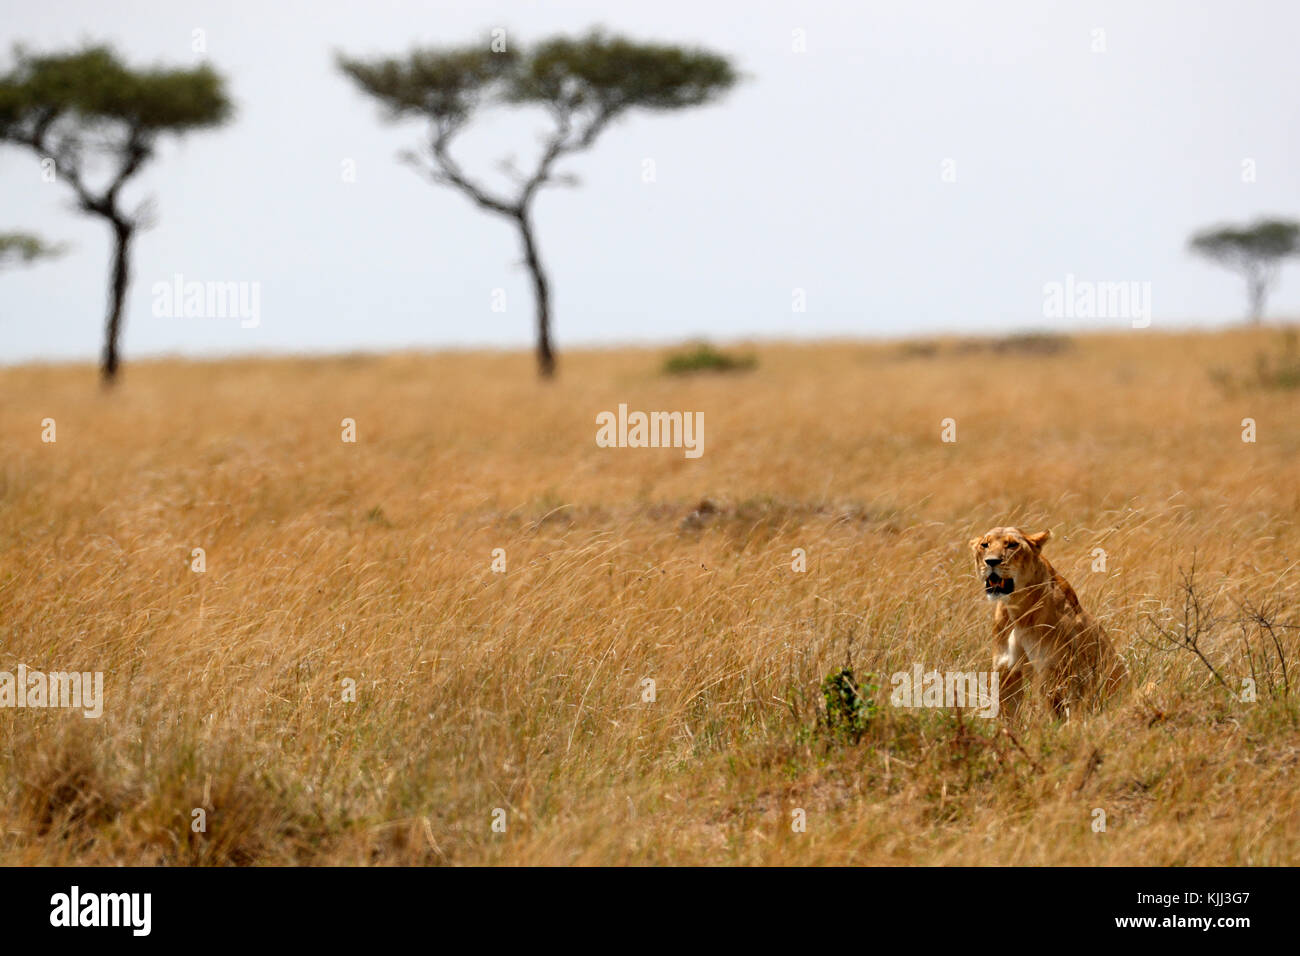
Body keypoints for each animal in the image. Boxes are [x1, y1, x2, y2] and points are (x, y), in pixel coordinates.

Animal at [969, 527, 1126, 718]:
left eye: (1012, 545)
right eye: (985, 545)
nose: (991, 561)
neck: (1016, 609)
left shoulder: (1054, 670)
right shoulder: (1005, 669)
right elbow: (1008, 715)